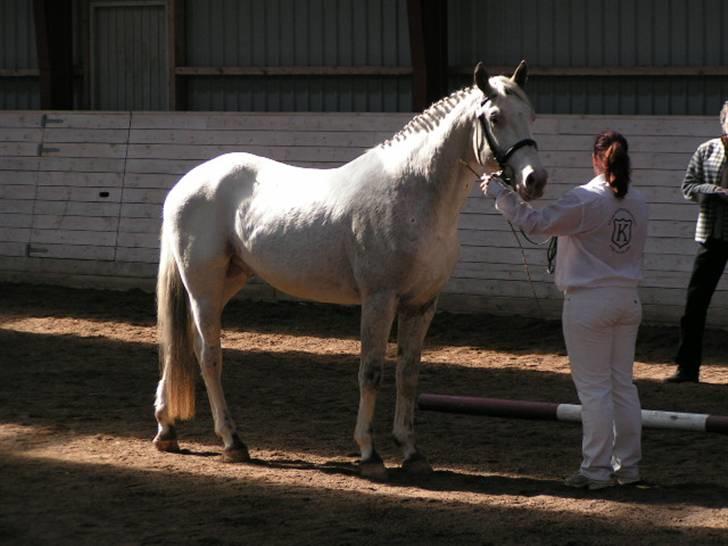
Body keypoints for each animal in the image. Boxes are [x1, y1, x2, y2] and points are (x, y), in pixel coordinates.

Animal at [154, 60, 544, 476]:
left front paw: (411, 451)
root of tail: (187, 184)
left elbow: (408, 373)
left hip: (229, 280)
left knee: (185, 347)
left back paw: (166, 430)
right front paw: (370, 454)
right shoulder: (379, 300)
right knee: (209, 355)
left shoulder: (422, 304)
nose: (535, 180)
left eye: (531, 114)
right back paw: (232, 441)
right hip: (204, 288)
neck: (413, 194)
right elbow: (371, 371)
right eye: (495, 117)